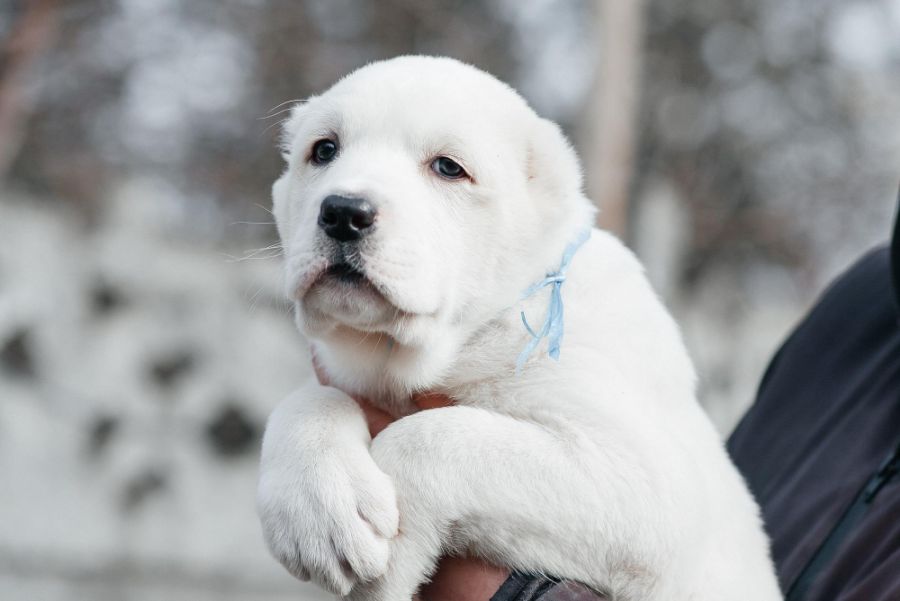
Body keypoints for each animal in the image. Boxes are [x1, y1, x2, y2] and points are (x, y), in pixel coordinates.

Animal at [258, 57, 780, 600]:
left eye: (448, 167)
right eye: (324, 150)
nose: (343, 212)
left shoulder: (643, 485)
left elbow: (433, 437)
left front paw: (391, 567)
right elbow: (310, 398)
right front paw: (320, 508)